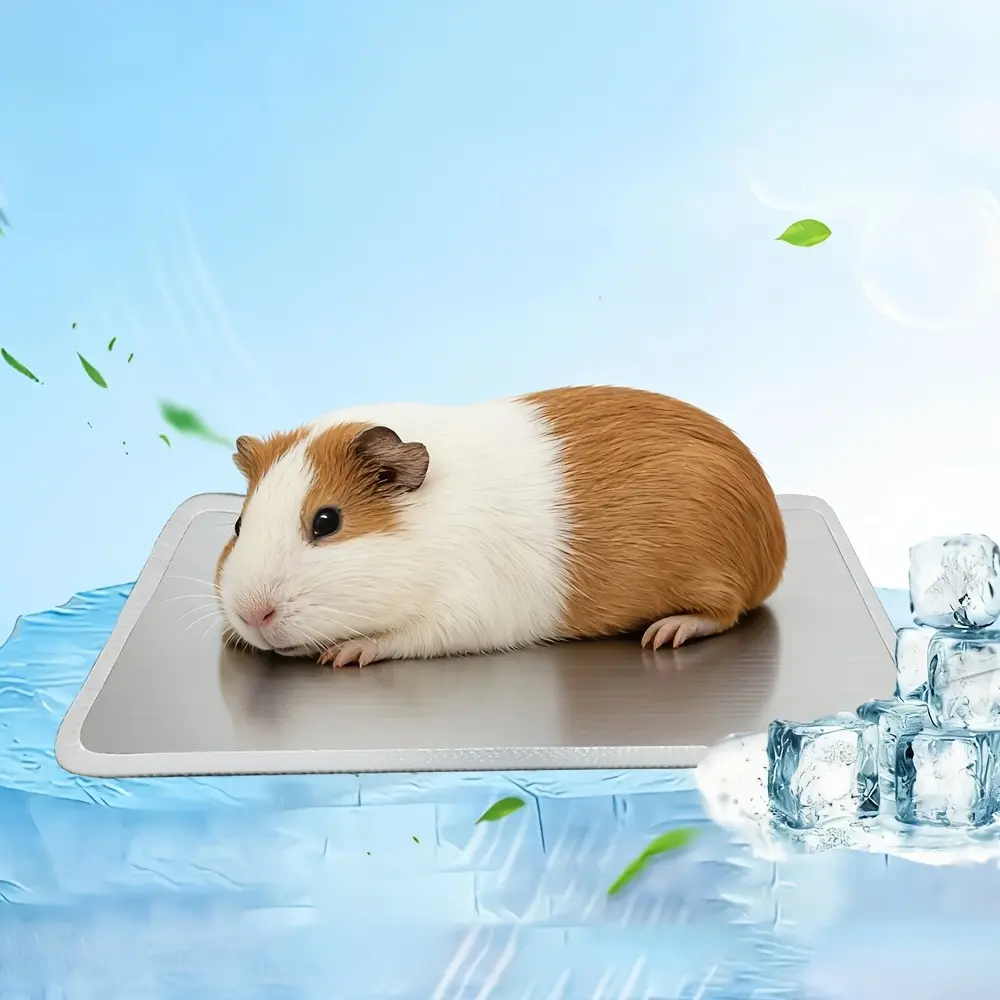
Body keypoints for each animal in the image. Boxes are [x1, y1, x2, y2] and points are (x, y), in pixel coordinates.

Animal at [215, 385, 787, 668]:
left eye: (326, 521)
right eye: (240, 524)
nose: (252, 616)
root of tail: (774, 542)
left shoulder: (465, 612)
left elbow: (407, 637)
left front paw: (346, 654)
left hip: (717, 584)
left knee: (723, 613)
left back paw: (665, 634)